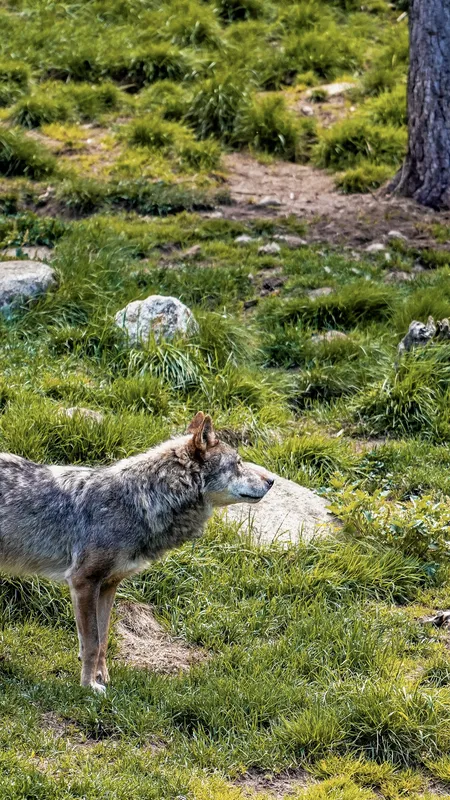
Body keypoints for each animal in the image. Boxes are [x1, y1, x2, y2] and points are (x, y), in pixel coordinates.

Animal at [0, 412, 273, 692]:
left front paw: (102, 679)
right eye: (238, 463)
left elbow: (103, 639)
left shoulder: (108, 586)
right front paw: (89, 687)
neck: (141, 501)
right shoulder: (83, 581)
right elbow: (91, 643)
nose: (272, 480)